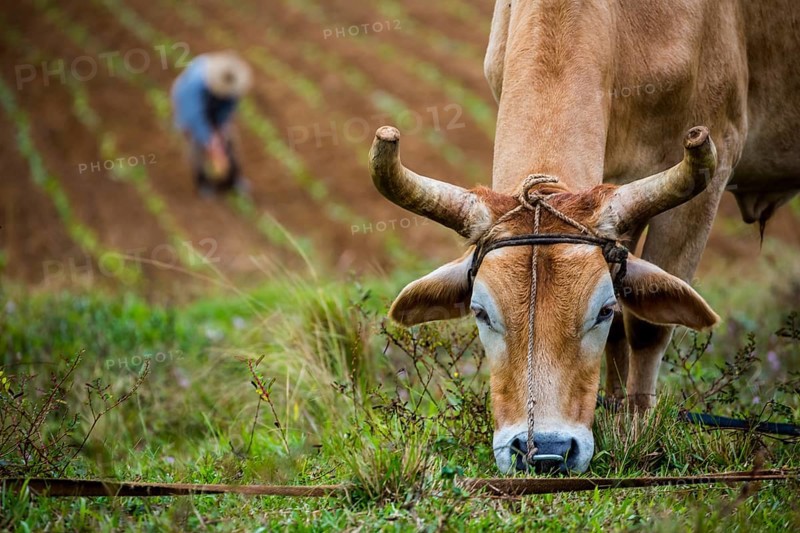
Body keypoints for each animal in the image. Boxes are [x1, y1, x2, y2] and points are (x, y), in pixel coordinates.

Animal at [367, 0, 800, 474]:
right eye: (480, 312)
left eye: (603, 310)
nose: (544, 451)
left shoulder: (712, 167)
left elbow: (645, 327)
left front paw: (637, 429)